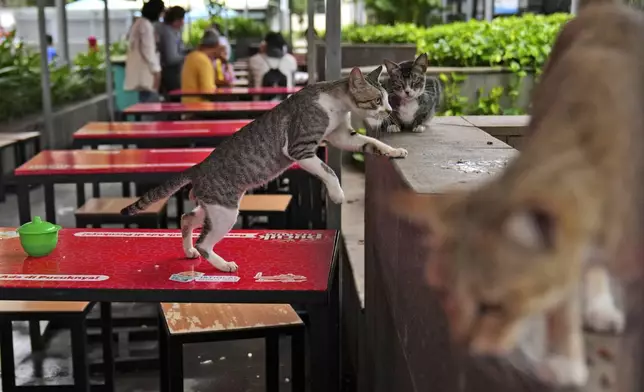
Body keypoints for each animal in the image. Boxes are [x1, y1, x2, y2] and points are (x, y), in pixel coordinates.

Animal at [121, 66, 408, 272]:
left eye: (387, 99)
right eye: (377, 100)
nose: (389, 111)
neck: (336, 105)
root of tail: (198, 167)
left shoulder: (342, 136)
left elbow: (372, 142)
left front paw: (395, 151)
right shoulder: (300, 149)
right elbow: (328, 171)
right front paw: (337, 194)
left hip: (214, 207)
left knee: (186, 218)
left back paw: (189, 250)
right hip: (225, 212)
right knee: (204, 241)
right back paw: (222, 265)